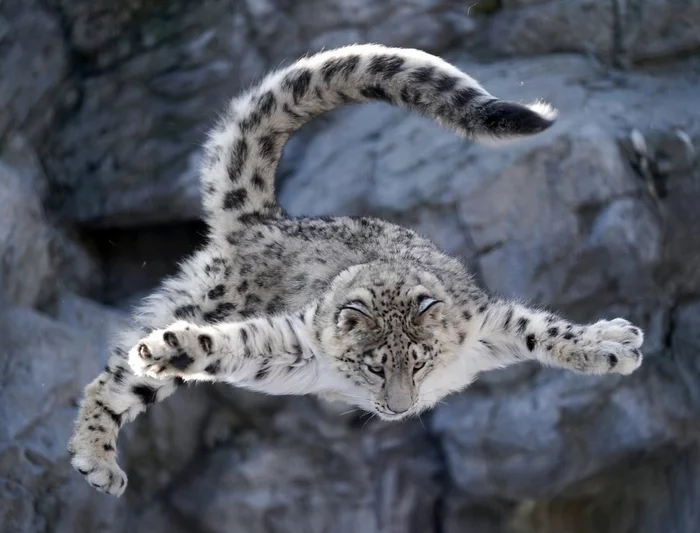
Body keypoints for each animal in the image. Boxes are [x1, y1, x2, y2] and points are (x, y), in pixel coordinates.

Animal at [68, 43, 644, 496]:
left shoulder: (485, 323)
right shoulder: (295, 337)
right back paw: (99, 457)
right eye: (373, 367)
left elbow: (541, 329)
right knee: (114, 377)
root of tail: (266, 220)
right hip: (211, 300)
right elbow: (234, 343)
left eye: (419, 362)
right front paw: (171, 348)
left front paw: (613, 345)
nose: (399, 408)